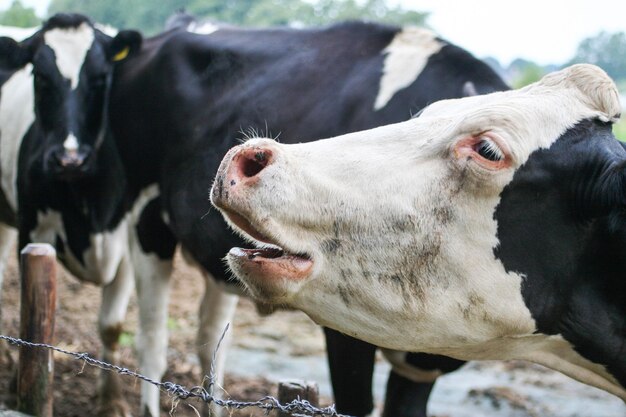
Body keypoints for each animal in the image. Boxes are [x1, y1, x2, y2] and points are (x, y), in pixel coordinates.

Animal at [0, 13, 142, 416]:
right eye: (40, 76)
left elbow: (111, 324)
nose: (69, 158)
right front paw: (16, 387)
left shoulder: (127, 242)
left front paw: (111, 400)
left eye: (100, 78)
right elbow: (29, 315)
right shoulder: (32, 230)